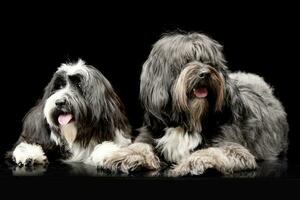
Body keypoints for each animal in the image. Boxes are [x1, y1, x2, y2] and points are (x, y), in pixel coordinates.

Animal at [102, 32, 290, 176]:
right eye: (185, 61)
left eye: (209, 62)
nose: (205, 73)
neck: (188, 120)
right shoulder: (150, 133)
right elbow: (139, 146)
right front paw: (122, 156)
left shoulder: (234, 147)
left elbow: (213, 151)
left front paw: (192, 162)